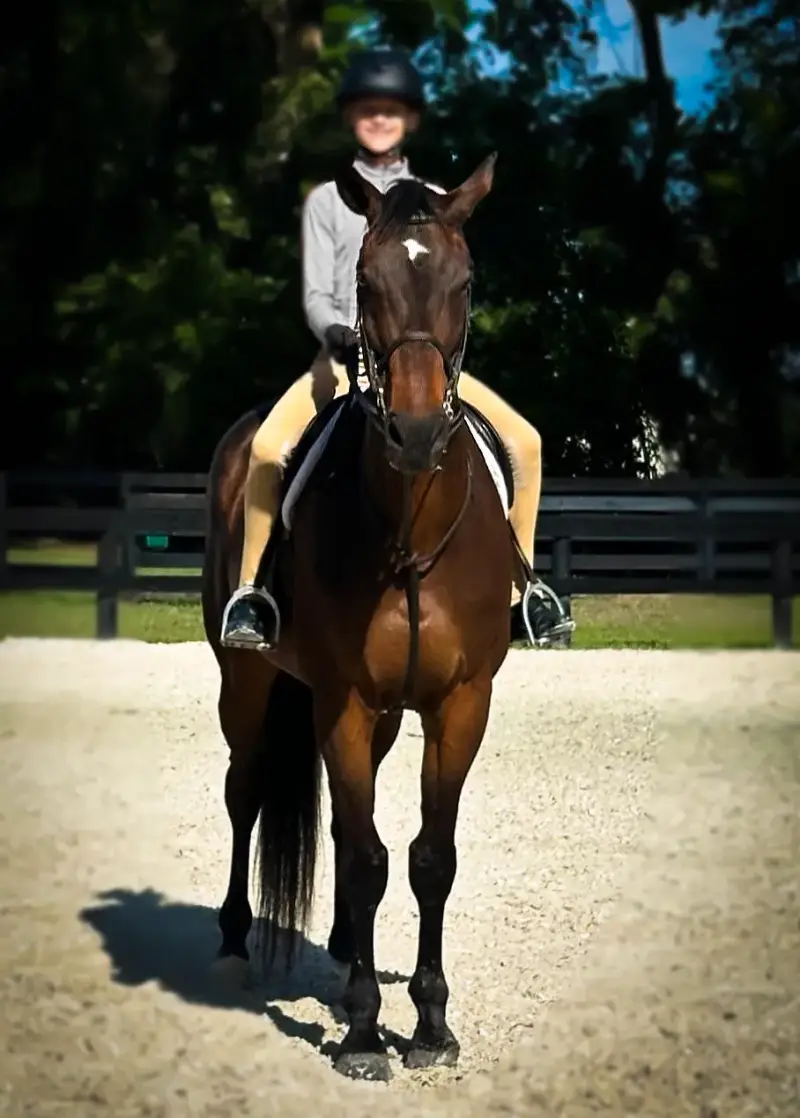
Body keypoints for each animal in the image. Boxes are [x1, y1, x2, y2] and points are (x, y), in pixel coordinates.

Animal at [202, 152, 520, 1082]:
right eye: (367, 282)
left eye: (464, 280)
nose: (415, 432)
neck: (408, 531)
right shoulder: (340, 699)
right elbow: (371, 854)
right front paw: (366, 1035)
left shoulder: (459, 703)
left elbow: (426, 857)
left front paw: (432, 1024)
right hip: (248, 682)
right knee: (246, 791)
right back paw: (235, 947)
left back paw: (347, 952)